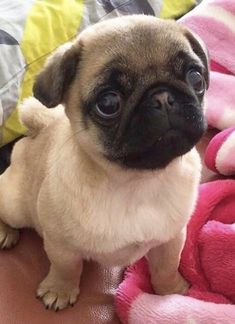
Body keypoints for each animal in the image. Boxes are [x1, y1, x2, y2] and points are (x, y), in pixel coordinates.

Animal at [0, 15, 207, 312]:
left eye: (196, 77)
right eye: (108, 103)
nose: (162, 97)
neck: (135, 182)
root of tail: (40, 128)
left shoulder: (171, 238)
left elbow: (167, 267)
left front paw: (171, 292)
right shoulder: (60, 244)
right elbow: (66, 267)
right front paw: (59, 290)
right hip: (15, 204)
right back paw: (6, 232)